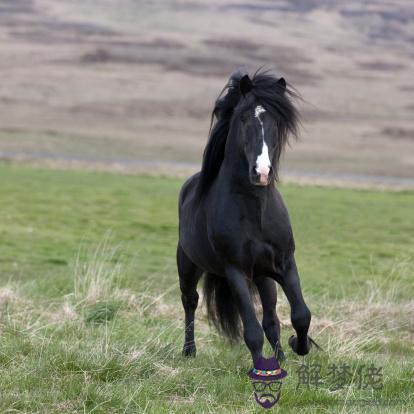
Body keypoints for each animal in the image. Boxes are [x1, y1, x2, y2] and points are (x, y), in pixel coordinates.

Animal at [176, 68, 316, 366]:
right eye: (243, 118)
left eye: (276, 121)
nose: (261, 172)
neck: (255, 212)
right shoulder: (236, 271)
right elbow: (251, 330)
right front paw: (262, 367)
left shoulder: (285, 264)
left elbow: (300, 314)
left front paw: (297, 346)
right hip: (188, 264)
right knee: (190, 301)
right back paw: (189, 351)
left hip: (263, 277)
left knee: (271, 319)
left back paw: (281, 356)